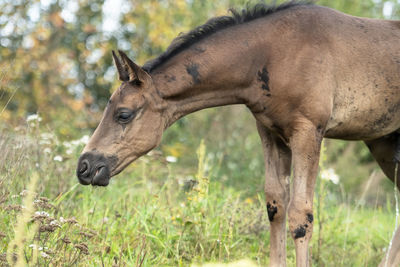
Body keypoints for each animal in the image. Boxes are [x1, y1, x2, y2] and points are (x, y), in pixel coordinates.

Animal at [76, 1, 400, 266]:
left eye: (124, 114)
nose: (86, 167)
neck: (273, 54)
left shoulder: (308, 131)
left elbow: (300, 215)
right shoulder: (270, 132)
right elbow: (275, 206)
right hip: (383, 144)